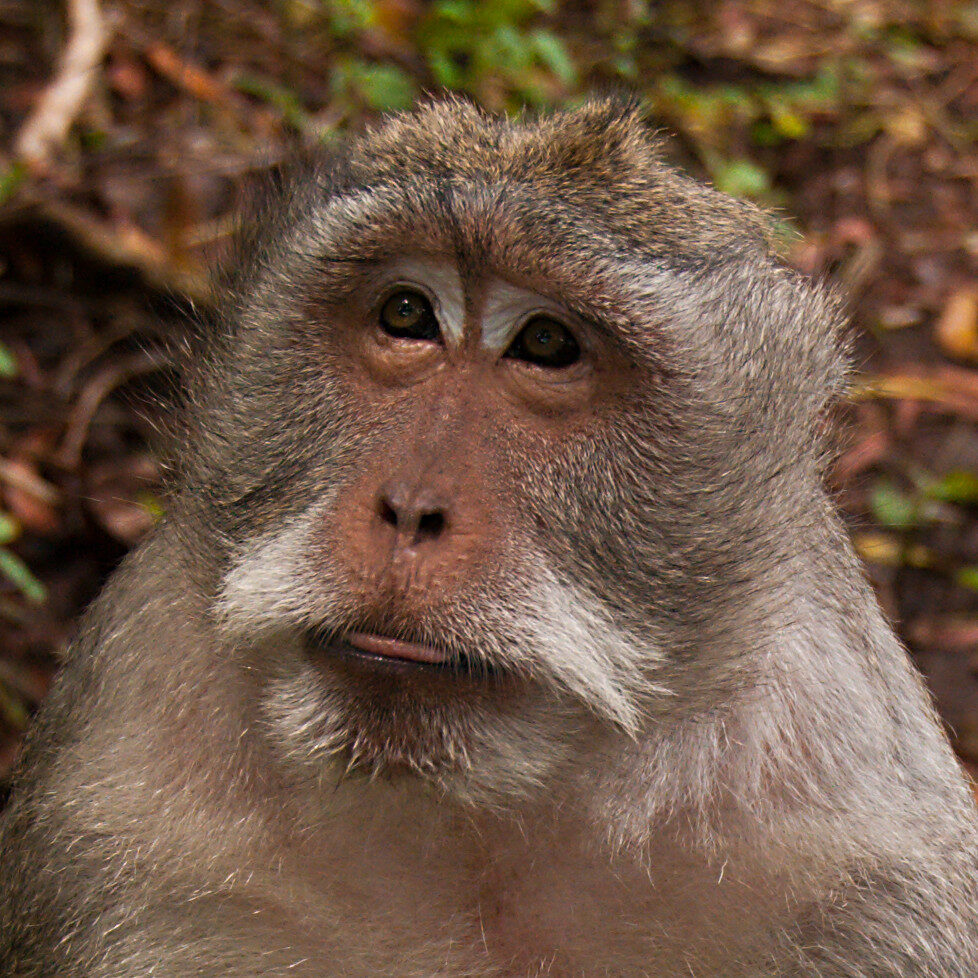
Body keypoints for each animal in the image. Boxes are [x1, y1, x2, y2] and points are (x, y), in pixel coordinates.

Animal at [1, 96, 977, 978]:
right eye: (405, 315)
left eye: (545, 343)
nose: (410, 508)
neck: (482, 825)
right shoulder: (116, 796)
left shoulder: (866, 861)